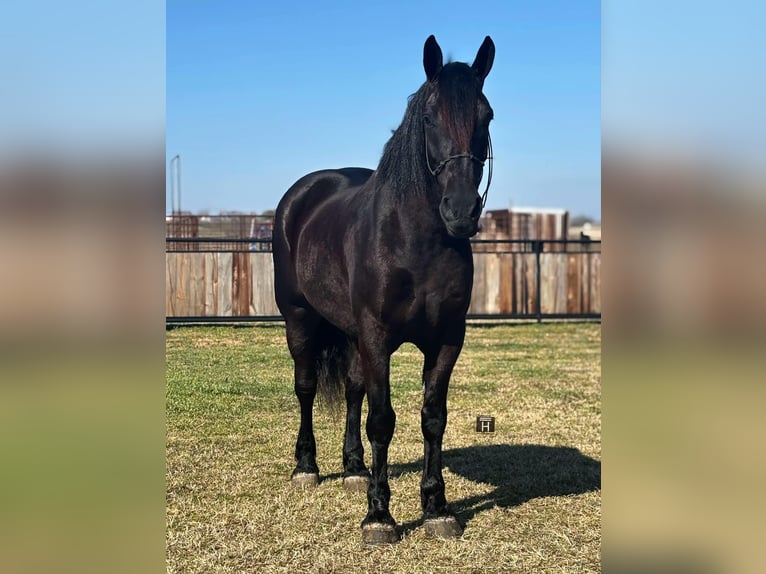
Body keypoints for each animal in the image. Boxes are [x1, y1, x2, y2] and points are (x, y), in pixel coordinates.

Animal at [272, 35, 494, 545]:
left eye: (487, 116)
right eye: (430, 117)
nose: (462, 211)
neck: (416, 241)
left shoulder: (446, 340)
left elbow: (432, 418)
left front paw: (436, 508)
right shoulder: (377, 338)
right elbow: (383, 420)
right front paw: (379, 516)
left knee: (353, 390)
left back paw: (354, 470)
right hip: (299, 319)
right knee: (306, 387)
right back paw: (307, 467)